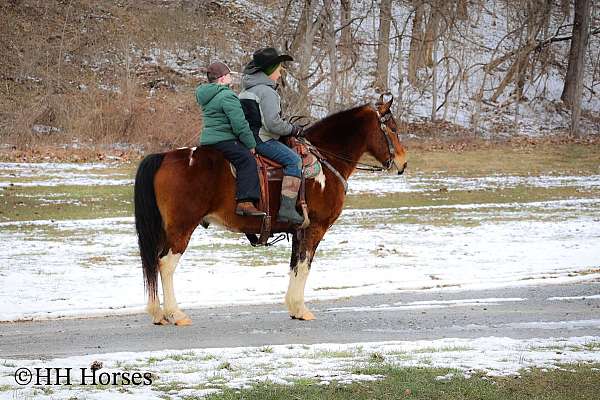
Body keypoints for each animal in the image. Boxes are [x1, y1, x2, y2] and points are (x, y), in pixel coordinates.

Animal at [135, 96, 408, 324]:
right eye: (393, 128)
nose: (403, 163)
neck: (325, 162)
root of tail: (165, 156)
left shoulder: (300, 230)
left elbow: (295, 265)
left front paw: (293, 308)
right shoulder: (315, 228)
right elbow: (305, 265)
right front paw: (301, 308)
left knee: (153, 263)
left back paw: (157, 313)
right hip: (181, 229)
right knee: (165, 264)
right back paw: (175, 313)